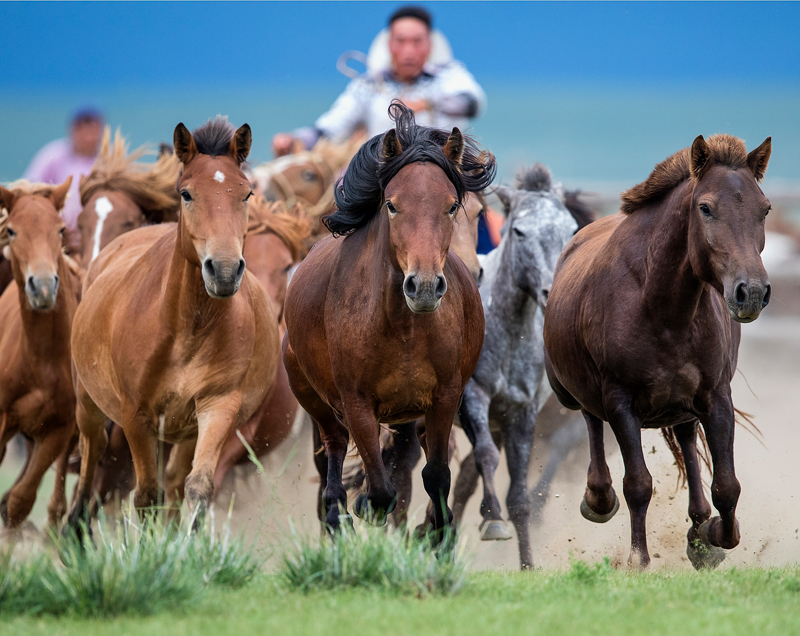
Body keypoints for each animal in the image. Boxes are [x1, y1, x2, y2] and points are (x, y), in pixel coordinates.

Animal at [65, 118, 280, 532]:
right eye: (186, 193)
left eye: (245, 193)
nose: (224, 270)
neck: (187, 329)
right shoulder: (135, 415)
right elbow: (146, 493)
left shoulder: (217, 405)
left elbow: (196, 487)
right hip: (88, 404)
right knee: (90, 460)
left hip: (184, 431)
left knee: (177, 482)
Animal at [282, 103, 494, 532]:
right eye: (392, 205)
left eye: (452, 205)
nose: (424, 286)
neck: (403, 328)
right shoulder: (356, 404)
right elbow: (380, 489)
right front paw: (367, 510)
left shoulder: (444, 397)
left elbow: (435, 476)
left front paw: (437, 534)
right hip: (313, 399)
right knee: (332, 455)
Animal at [456, 164, 580, 568]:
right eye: (519, 230)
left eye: (571, 228)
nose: (551, 291)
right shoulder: (473, 396)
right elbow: (486, 456)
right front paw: (494, 520)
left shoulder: (520, 412)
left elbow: (520, 495)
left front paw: (527, 565)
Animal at [540, 133, 772, 568]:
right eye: (705, 208)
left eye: (764, 208)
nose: (751, 292)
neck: (663, 307)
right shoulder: (620, 400)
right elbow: (637, 484)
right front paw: (638, 560)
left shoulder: (716, 396)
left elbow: (726, 485)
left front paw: (712, 536)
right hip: (570, 390)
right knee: (589, 418)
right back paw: (598, 498)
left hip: (681, 405)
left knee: (686, 440)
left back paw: (698, 526)